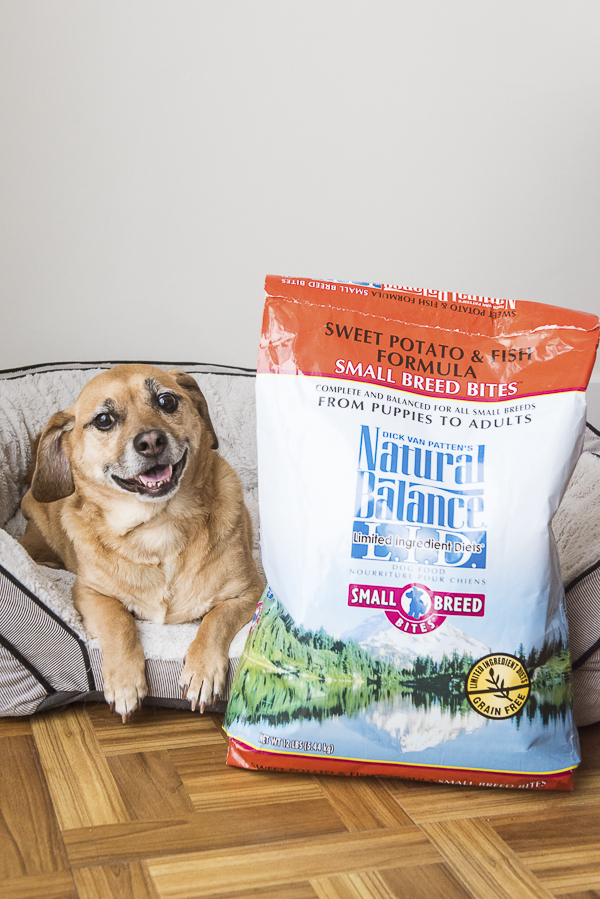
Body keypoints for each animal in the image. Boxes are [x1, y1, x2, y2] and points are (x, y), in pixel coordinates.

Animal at [19, 364, 263, 721]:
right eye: (103, 420)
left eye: (166, 401)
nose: (151, 441)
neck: (159, 525)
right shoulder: (89, 593)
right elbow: (119, 622)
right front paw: (124, 681)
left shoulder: (247, 591)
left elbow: (215, 621)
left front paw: (202, 670)